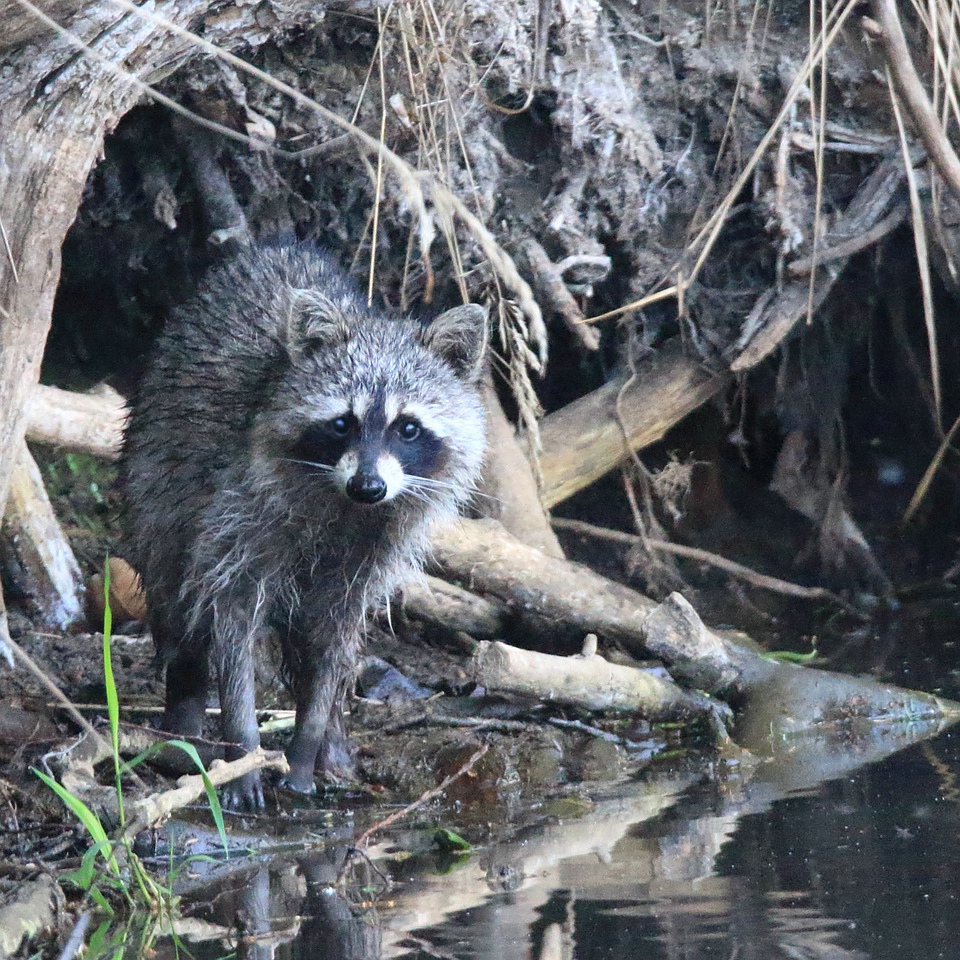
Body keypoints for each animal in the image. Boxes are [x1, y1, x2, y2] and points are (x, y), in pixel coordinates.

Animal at [125, 244, 488, 808]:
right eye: (343, 423)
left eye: (408, 428)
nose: (369, 485)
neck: (346, 506)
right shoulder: (236, 514)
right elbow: (230, 620)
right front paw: (244, 746)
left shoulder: (372, 553)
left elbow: (334, 641)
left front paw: (309, 740)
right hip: (158, 469)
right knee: (176, 591)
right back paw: (183, 719)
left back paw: (332, 743)